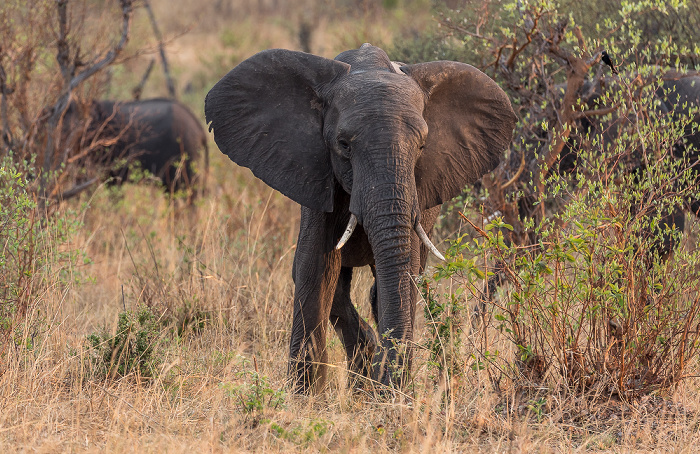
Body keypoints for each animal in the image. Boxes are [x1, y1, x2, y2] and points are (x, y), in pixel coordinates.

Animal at [202, 44, 516, 392]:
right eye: (343, 145)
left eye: (423, 146)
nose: (395, 391)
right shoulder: (316, 175)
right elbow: (315, 270)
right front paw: (306, 397)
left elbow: (402, 277)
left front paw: (387, 390)